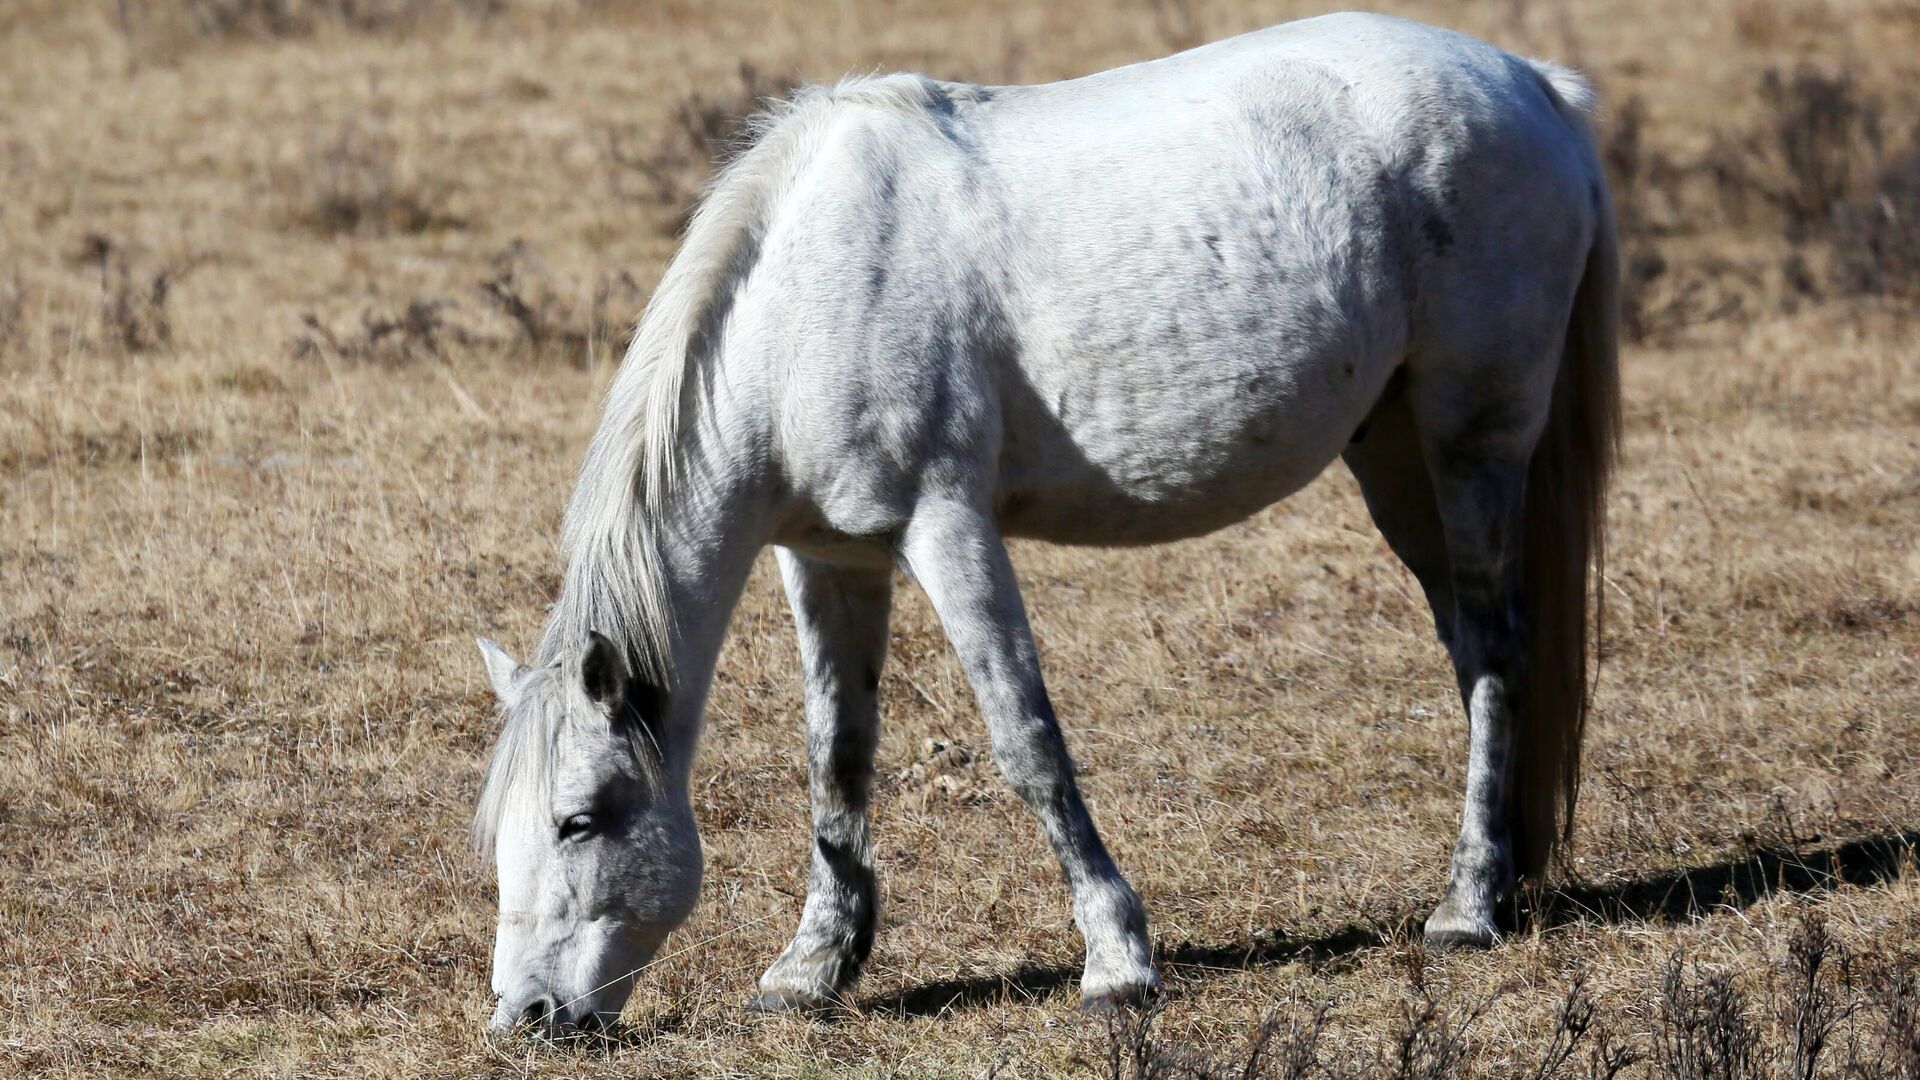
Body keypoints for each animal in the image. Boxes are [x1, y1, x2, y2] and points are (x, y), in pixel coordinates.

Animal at [472, 10, 1612, 1037]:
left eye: (579, 819)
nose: (525, 1016)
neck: (806, 297)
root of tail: (1538, 86)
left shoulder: (947, 529)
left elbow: (1026, 741)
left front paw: (1118, 958)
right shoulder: (827, 559)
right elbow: (837, 758)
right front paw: (813, 968)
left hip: (1473, 440)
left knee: (1498, 648)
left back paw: (1466, 908)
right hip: (1395, 454)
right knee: (1469, 647)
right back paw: (1501, 878)